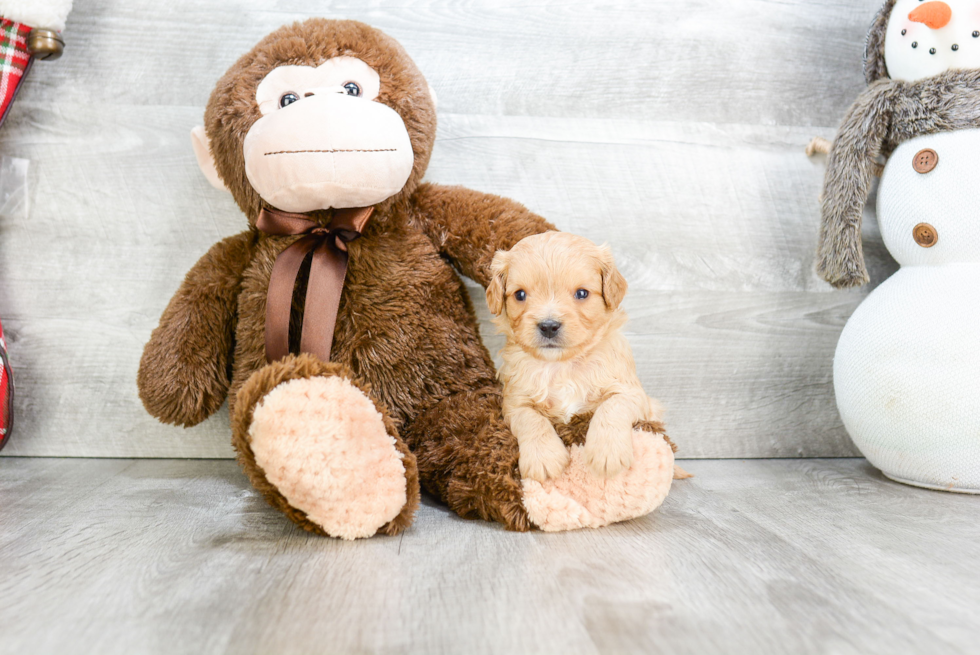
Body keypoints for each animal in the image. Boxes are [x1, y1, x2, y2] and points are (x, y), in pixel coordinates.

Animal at [488, 231, 668, 482]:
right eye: (520, 294)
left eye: (582, 293)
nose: (549, 326)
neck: (562, 365)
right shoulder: (514, 402)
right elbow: (531, 419)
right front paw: (544, 459)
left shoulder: (633, 393)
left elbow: (611, 407)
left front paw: (607, 453)